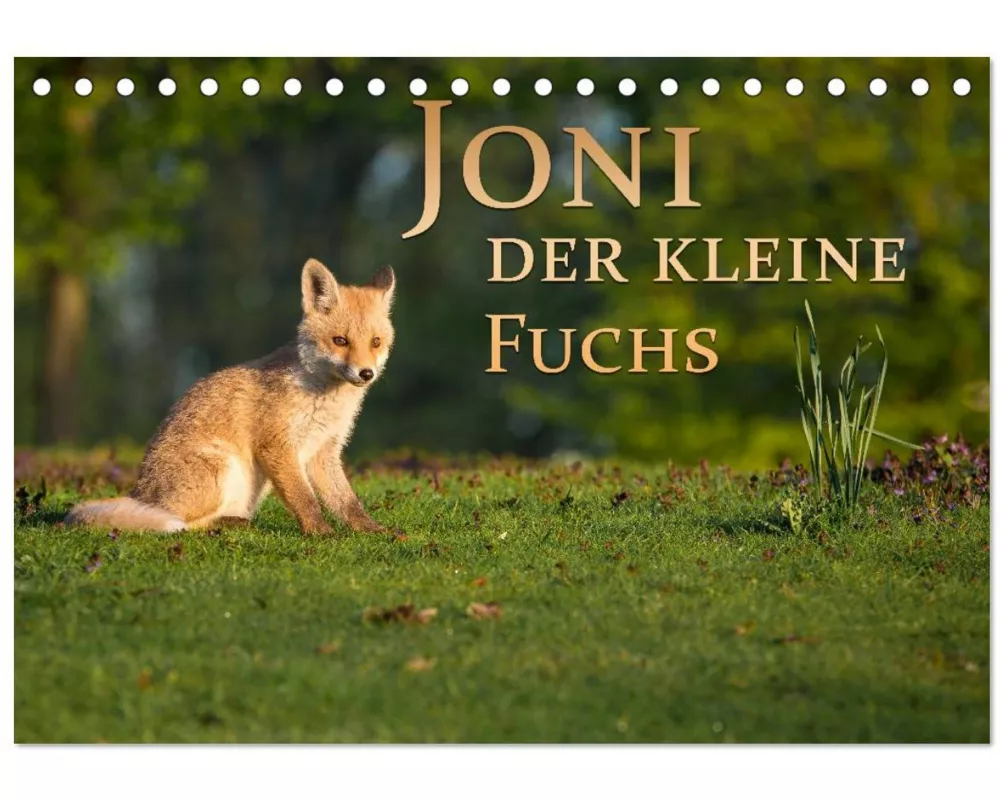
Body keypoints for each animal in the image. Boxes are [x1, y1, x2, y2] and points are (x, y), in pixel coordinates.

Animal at [65, 258, 395, 535]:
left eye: (376, 342)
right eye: (340, 341)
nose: (366, 373)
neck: (324, 400)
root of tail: (140, 493)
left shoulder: (323, 452)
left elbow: (347, 503)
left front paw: (374, 531)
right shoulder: (277, 445)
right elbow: (305, 499)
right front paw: (321, 533)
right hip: (223, 469)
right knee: (180, 523)